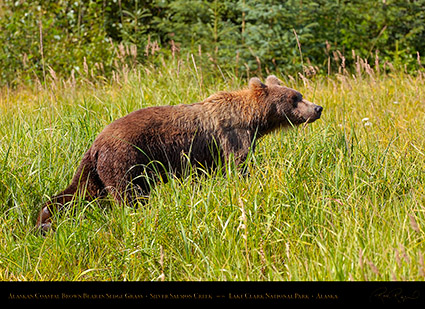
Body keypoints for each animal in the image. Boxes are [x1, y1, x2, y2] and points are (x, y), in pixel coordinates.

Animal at [36, 74, 322, 230]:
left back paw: (44, 219)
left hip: (95, 169)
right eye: (295, 98)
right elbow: (238, 167)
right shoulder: (233, 137)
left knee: (77, 191)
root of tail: (96, 143)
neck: (254, 120)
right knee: (129, 195)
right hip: (125, 160)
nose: (317, 108)